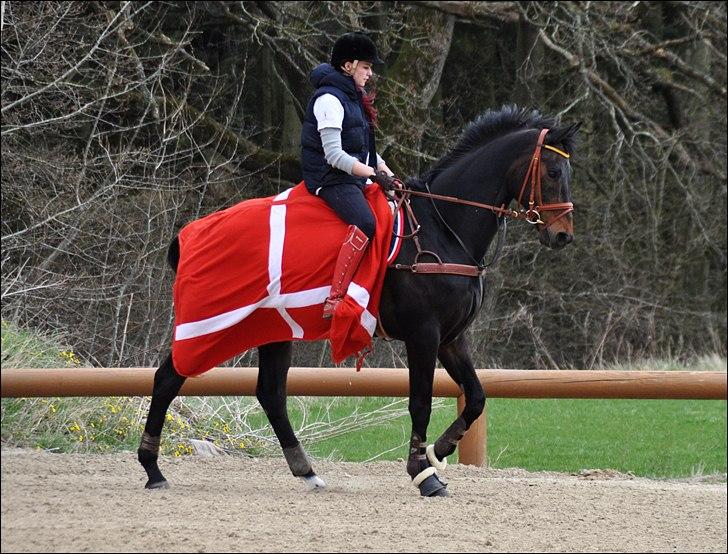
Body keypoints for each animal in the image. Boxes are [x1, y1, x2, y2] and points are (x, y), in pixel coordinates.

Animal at [136, 103, 580, 496]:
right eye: (553, 171)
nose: (563, 236)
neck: (441, 228)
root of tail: (188, 235)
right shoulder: (424, 335)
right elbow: (421, 402)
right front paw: (423, 474)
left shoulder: (452, 338)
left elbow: (476, 397)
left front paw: (439, 451)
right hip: (213, 327)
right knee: (169, 378)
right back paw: (153, 469)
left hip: (273, 330)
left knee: (270, 394)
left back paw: (307, 472)